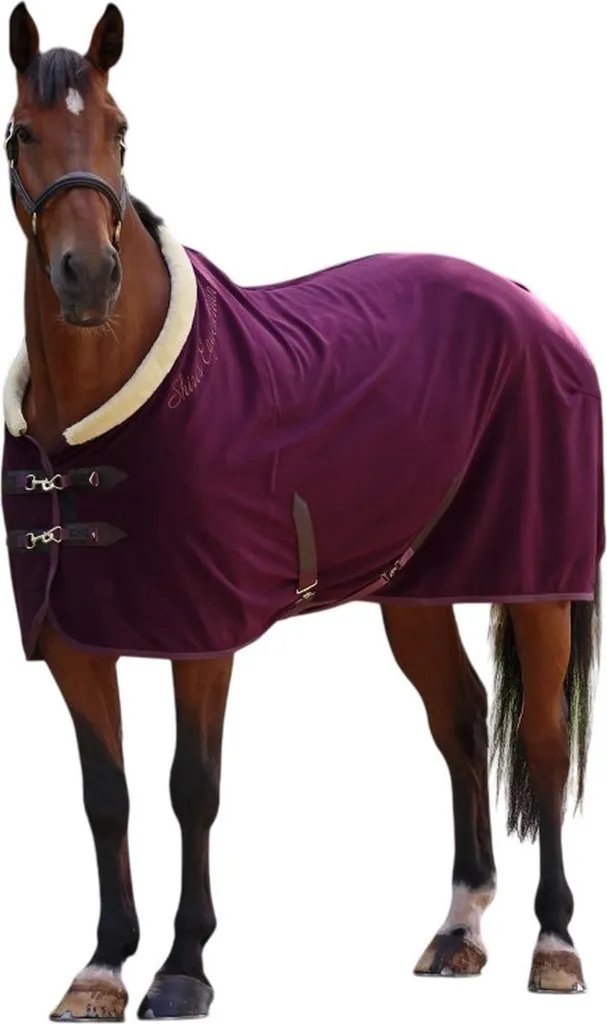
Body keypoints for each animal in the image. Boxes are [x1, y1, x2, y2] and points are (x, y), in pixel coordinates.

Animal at [3, 3, 603, 1020]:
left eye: (122, 132)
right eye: (18, 136)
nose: (87, 277)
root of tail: (531, 305)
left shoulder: (203, 638)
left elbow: (191, 788)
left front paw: (182, 968)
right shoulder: (75, 643)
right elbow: (105, 796)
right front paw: (102, 966)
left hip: (536, 581)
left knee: (544, 740)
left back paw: (553, 946)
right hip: (414, 590)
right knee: (461, 717)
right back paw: (458, 929)